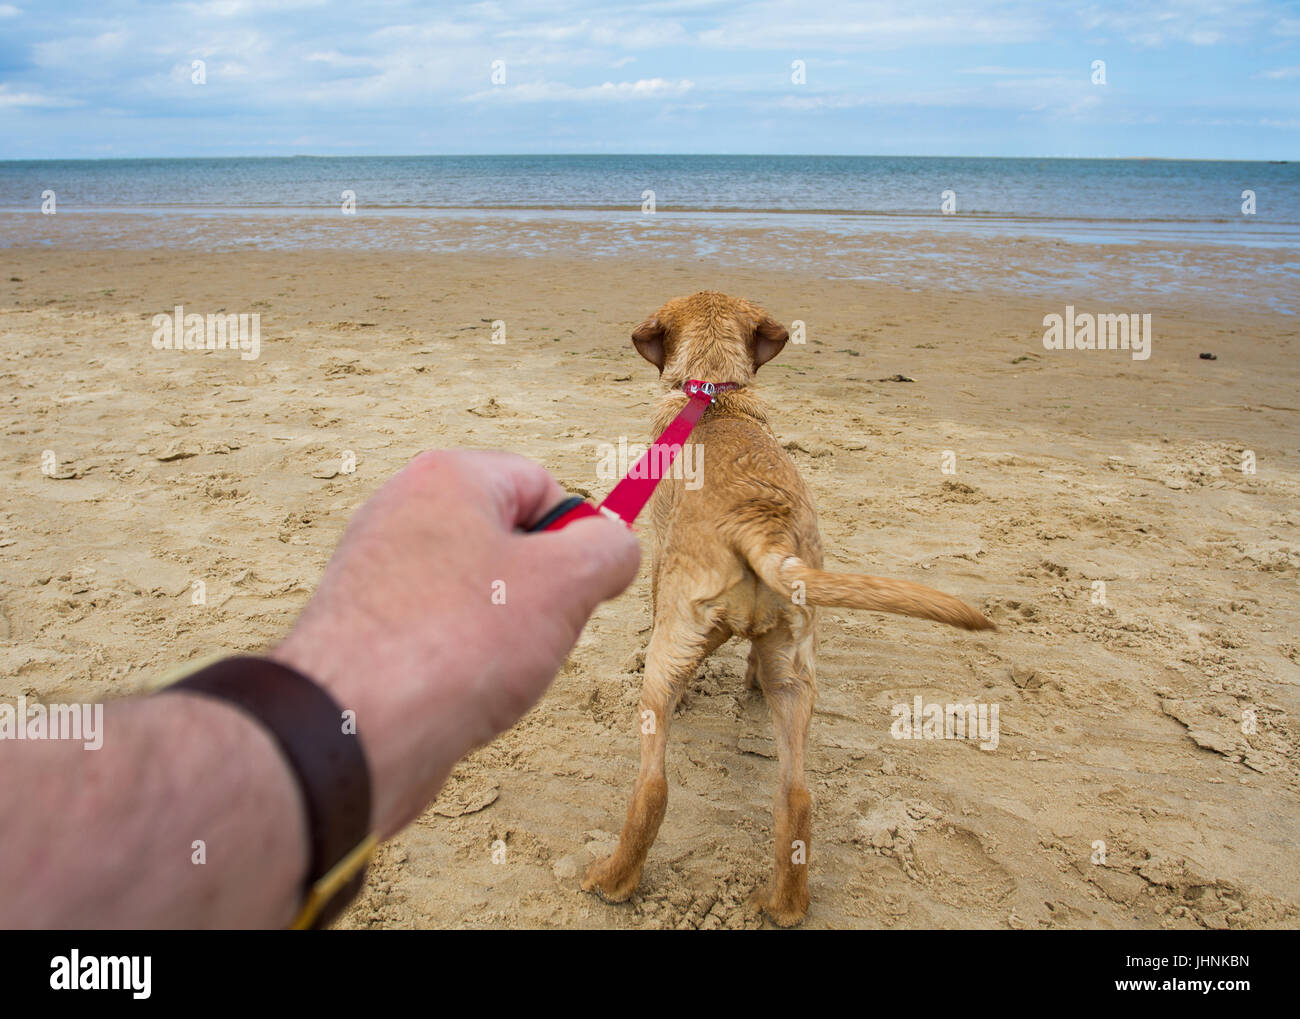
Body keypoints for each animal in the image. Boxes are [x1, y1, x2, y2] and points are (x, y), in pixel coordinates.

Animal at [582, 291, 993, 925]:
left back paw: (612, 879)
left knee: (654, 786)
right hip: (795, 670)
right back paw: (783, 903)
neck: (716, 395)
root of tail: (759, 522)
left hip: (667, 660)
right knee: (796, 796)